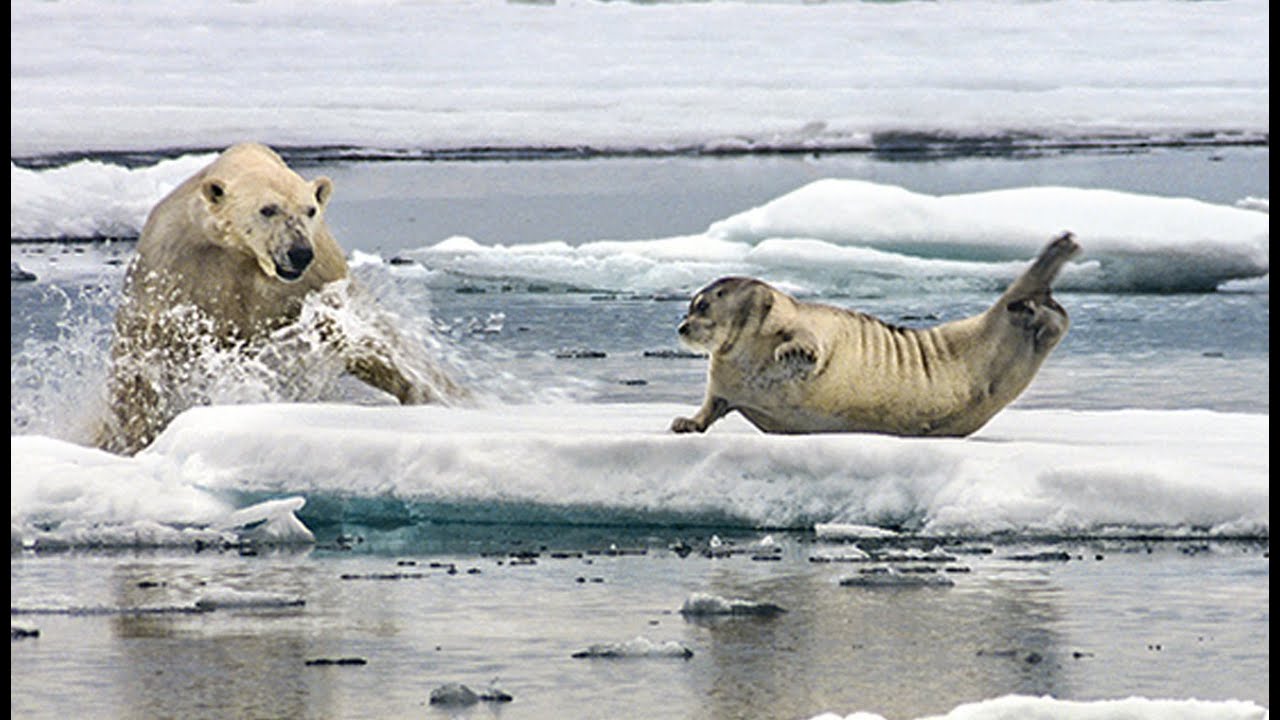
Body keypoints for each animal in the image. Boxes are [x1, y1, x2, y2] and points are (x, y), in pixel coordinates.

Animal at [95, 142, 464, 455]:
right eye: (268, 209)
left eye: (310, 210)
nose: (299, 252)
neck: (241, 255)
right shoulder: (175, 268)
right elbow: (144, 357)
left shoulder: (314, 278)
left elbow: (357, 334)